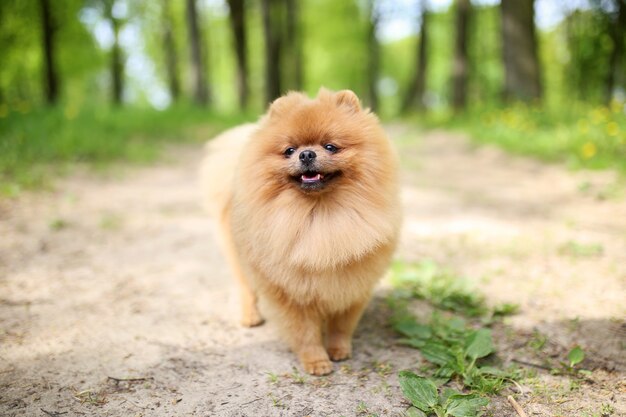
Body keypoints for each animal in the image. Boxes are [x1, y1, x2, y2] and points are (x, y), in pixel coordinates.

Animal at [200, 88, 400, 374]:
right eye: (289, 150)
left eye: (330, 146)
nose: (306, 154)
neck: (320, 218)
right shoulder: (289, 292)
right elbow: (304, 332)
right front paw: (317, 361)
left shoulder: (353, 283)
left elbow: (342, 324)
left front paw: (339, 350)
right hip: (239, 256)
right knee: (246, 287)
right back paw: (250, 316)